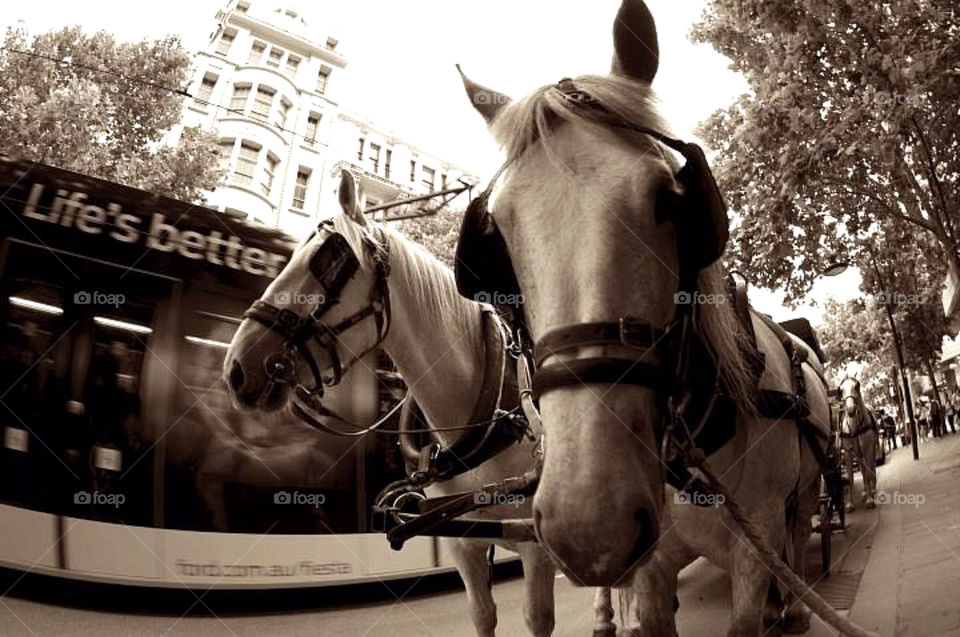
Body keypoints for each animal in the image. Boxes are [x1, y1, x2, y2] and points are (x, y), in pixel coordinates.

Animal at [223, 170, 559, 636]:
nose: (237, 367)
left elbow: (538, 618)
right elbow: (482, 615)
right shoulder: (464, 545)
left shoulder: (538, 545)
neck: (492, 412)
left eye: (330, 260)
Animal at [454, 1, 828, 634]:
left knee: (799, 541)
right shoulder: (649, 569)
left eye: (668, 197)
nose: (590, 525)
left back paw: (797, 606)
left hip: (800, 498)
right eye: (495, 235)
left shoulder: (754, 550)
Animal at [838, 377, 878, 511]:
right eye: (841, 390)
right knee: (862, 468)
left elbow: (868, 473)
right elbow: (850, 477)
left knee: (871, 467)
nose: (850, 410)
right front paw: (850, 503)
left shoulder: (868, 448)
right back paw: (865, 492)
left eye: (857, 386)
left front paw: (870, 500)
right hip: (858, 453)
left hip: (872, 448)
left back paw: (872, 490)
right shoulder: (848, 452)